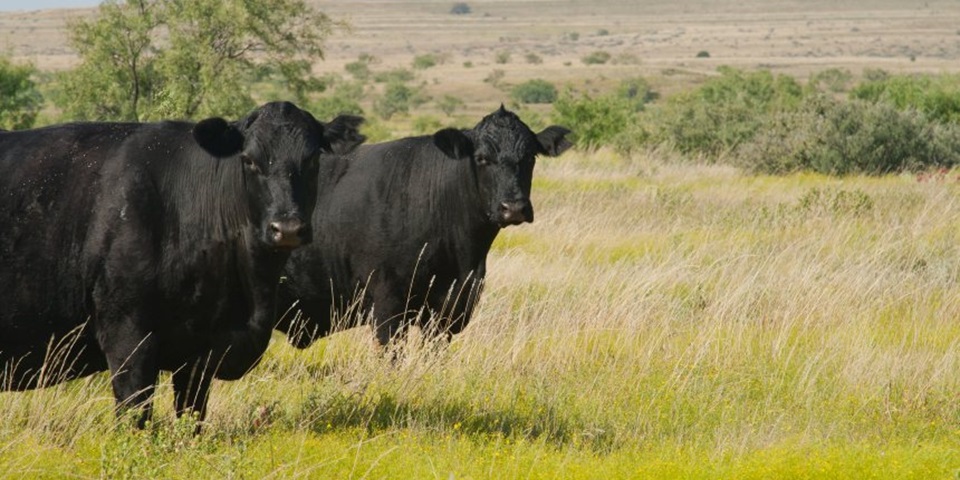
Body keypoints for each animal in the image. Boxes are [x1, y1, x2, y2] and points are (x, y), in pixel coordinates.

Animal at [0, 103, 366, 426]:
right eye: (249, 160)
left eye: (313, 158)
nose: (287, 228)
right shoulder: (127, 336)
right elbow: (135, 416)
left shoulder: (197, 352)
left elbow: (191, 418)